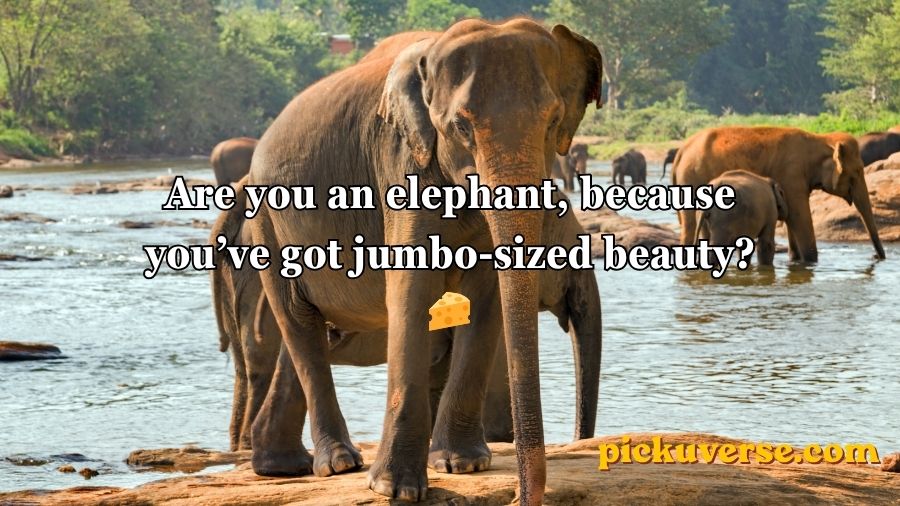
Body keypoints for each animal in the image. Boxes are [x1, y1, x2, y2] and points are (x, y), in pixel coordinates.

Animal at [673, 126, 885, 263]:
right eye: (857, 172)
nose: (877, 257)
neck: (820, 139)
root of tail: (682, 150)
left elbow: (792, 218)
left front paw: (795, 260)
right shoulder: (792, 174)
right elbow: (799, 217)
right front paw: (811, 261)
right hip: (692, 179)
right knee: (690, 225)